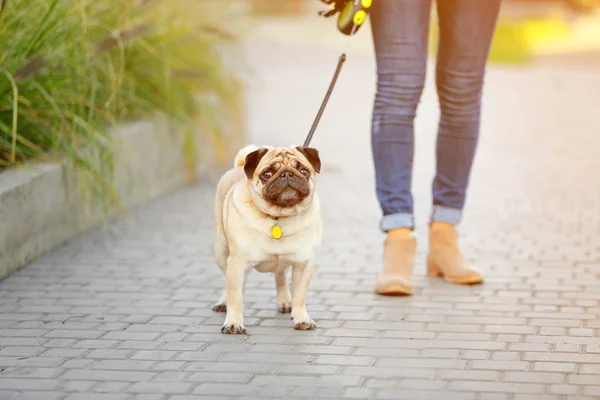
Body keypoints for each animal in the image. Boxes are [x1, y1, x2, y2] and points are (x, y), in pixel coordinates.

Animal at [212, 144, 322, 334]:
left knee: (280, 276)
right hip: (221, 252)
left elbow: (299, 295)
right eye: (267, 174)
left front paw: (301, 318)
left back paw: (284, 301)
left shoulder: (304, 263)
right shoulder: (237, 263)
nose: (287, 174)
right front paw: (233, 323)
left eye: (303, 170)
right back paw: (223, 303)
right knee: (228, 282)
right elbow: (235, 296)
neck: (278, 216)